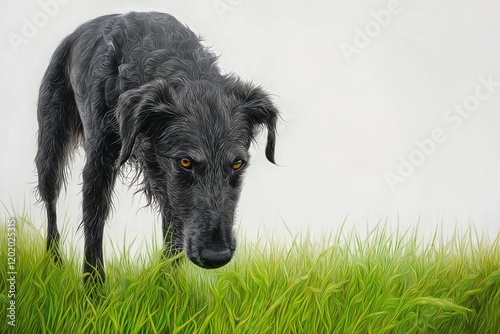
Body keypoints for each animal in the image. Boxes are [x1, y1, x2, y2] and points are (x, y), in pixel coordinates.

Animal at [35, 11, 278, 284]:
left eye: (237, 164)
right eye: (185, 161)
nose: (216, 256)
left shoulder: (169, 185)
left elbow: (173, 238)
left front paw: (164, 286)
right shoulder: (99, 165)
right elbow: (94, 225)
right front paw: (93, 288)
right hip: (50, 151)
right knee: (51, 205)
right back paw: (54, 260)